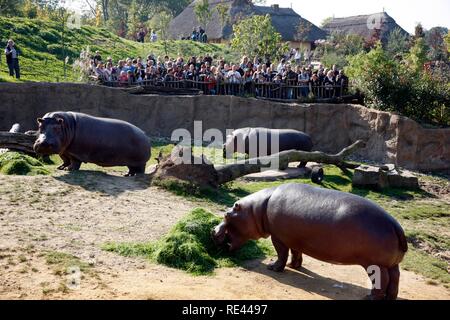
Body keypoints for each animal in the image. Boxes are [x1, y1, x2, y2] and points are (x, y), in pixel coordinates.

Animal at [213, 182, 410, 300]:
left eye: (227, 214)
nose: (213, 231)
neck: (257, 209)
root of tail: (396, 225)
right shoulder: (293, 238)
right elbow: (296, 253)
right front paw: (294, 266)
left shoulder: (279, 238)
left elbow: (281, 254)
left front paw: (273, 267)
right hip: (391, 263)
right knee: (395, 278)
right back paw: (390, 298)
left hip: (374, 264)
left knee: (382, 279)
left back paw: (369, 298)